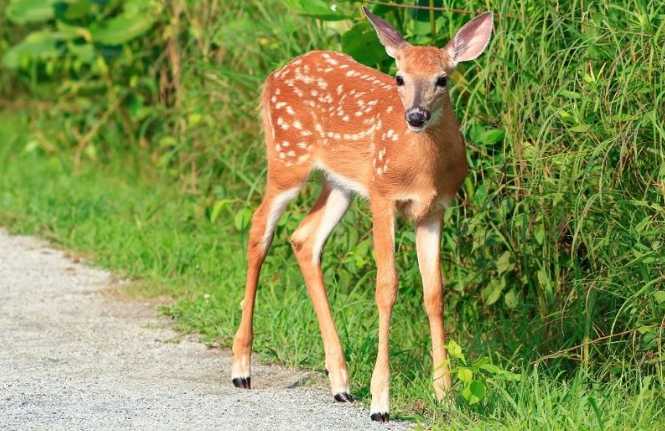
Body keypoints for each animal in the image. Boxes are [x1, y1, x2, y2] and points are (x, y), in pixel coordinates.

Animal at [231, 7, 493, 422]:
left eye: (442, 79)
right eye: (400, 78)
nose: (415, 115)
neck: (422, 169)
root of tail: (274, 74)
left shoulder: (434, 210)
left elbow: (434, 292)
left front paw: (446, 395)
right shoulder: (382, 196)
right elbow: (386, 287)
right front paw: (380, 402)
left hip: (340, 185)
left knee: (304, 238)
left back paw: (340, 383)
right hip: (288, 158)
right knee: (260, 227)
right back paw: (241, 369)